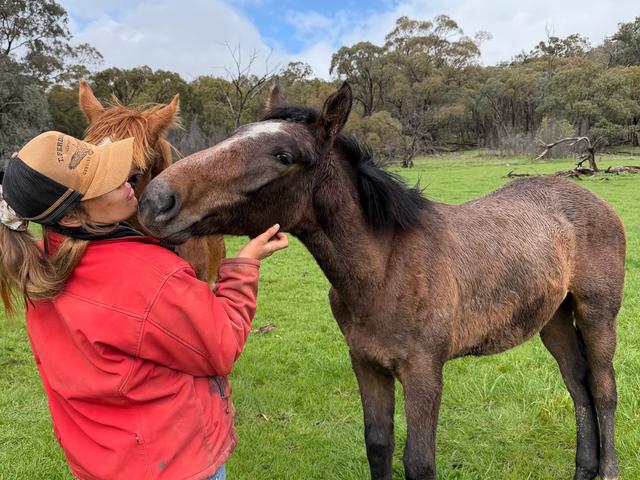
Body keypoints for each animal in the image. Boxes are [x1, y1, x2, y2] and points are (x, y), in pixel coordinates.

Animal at [137, 82, 625, 480]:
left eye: (284, 156)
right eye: (237, 133)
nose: (157, 201)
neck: (384, 269)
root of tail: (592, 198)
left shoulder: (424, 372)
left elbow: (418, 462)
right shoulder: (367, 364)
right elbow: (377, 445)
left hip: (597, 312)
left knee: (602, 389)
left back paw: (608, 470)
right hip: (554, 318)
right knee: (577, 384)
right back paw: (583, 470)